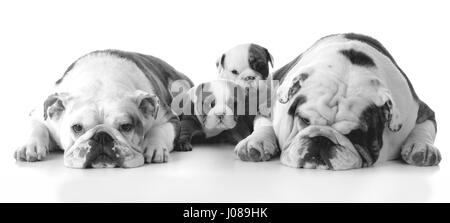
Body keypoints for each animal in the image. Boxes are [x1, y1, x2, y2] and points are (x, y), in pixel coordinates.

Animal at [13, 49, 193, 168]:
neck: (100, 82)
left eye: (126, 126)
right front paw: (30, 146)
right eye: (77, 127)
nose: (102, 136)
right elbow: (36, 126)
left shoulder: (168, 117)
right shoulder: (39, 114)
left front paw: (154, 147)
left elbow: (160, 130)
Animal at [270, 33, 440, 170]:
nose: (321, 139)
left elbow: (424, 127)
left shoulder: (417, 110)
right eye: (304, 120)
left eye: (356, 134)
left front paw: (423, 148)